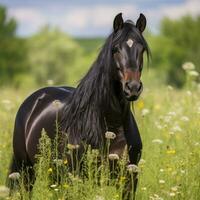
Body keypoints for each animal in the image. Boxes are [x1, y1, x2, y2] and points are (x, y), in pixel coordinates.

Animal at [8, 12, 149, 198]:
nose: (132, 88)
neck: (111, 126)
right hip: (26, 172)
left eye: (142, 49)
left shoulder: (129, 181)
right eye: (115, 49)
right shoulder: (80, 180)